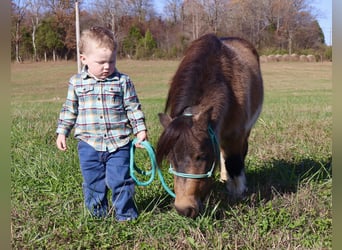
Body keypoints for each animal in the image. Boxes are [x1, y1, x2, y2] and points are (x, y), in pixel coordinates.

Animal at [156, 33, 264, 219]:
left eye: (201, 156)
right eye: (171, 158)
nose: (184, 209)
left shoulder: (235, 135)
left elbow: (234, 162)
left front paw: (237, 192)